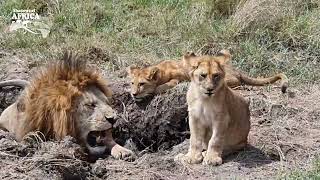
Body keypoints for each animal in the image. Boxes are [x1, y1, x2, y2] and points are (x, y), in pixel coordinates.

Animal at [0, 52, 134, 160]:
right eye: (90, 105)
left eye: (107, 102)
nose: (113, 119)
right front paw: (32, 138)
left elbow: (109, 140)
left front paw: (122, 150)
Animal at [127, 50, 288, 102]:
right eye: (132, 83)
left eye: (142, 84)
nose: (133, 94)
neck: (161, 71)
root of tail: (236, 70)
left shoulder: (178, 77)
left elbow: (165, 85)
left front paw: (153, 91)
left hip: (225, 78)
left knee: (237, 82)